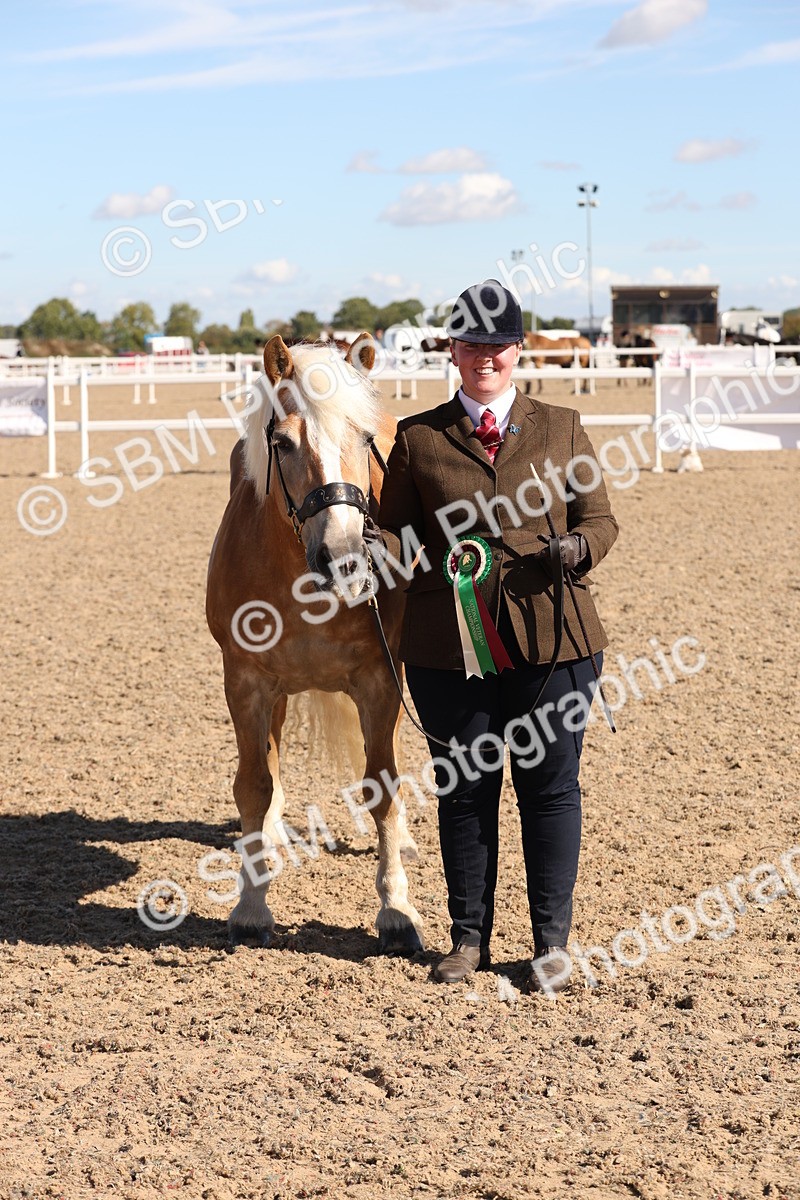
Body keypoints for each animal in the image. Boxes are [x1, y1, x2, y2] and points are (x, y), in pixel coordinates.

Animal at [206, 334, 424, 954]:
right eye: (281, 442)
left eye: (366, 439)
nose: (344, 558)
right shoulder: (247, 683)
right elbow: (253, 785)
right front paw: (250, 905)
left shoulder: (380, 683)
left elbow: (384, 787)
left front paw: (395, 908)